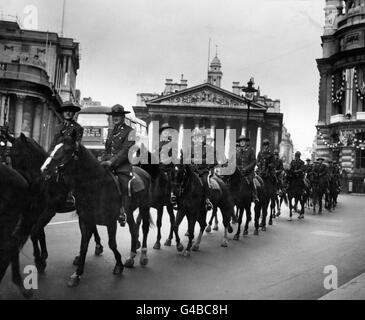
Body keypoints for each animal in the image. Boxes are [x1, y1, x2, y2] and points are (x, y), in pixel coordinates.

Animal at [41, 133, 152, 288]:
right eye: (55, 146)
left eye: (67, 150)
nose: (44, 168)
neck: (96, 187)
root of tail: (144, 172)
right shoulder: (86, 220)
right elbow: (84, 245)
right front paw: (77, 274)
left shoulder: (111, 222)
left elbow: (112, 244)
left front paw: (118, 265)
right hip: (129, 212)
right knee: (133, 229)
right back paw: (131, 255)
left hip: (144, 207)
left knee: (144, 228)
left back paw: (143, 255)